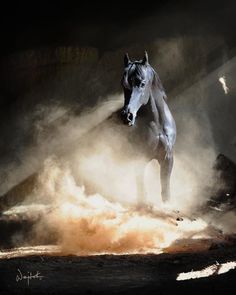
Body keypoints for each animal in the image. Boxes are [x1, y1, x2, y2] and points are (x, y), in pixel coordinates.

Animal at [121, 51, 176, 204]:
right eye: (123, 85)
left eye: (142, 83)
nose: (127, 116)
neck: (157, 126)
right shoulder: (139, 158)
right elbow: (141, 190)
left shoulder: (167, 158)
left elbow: (165, 190)